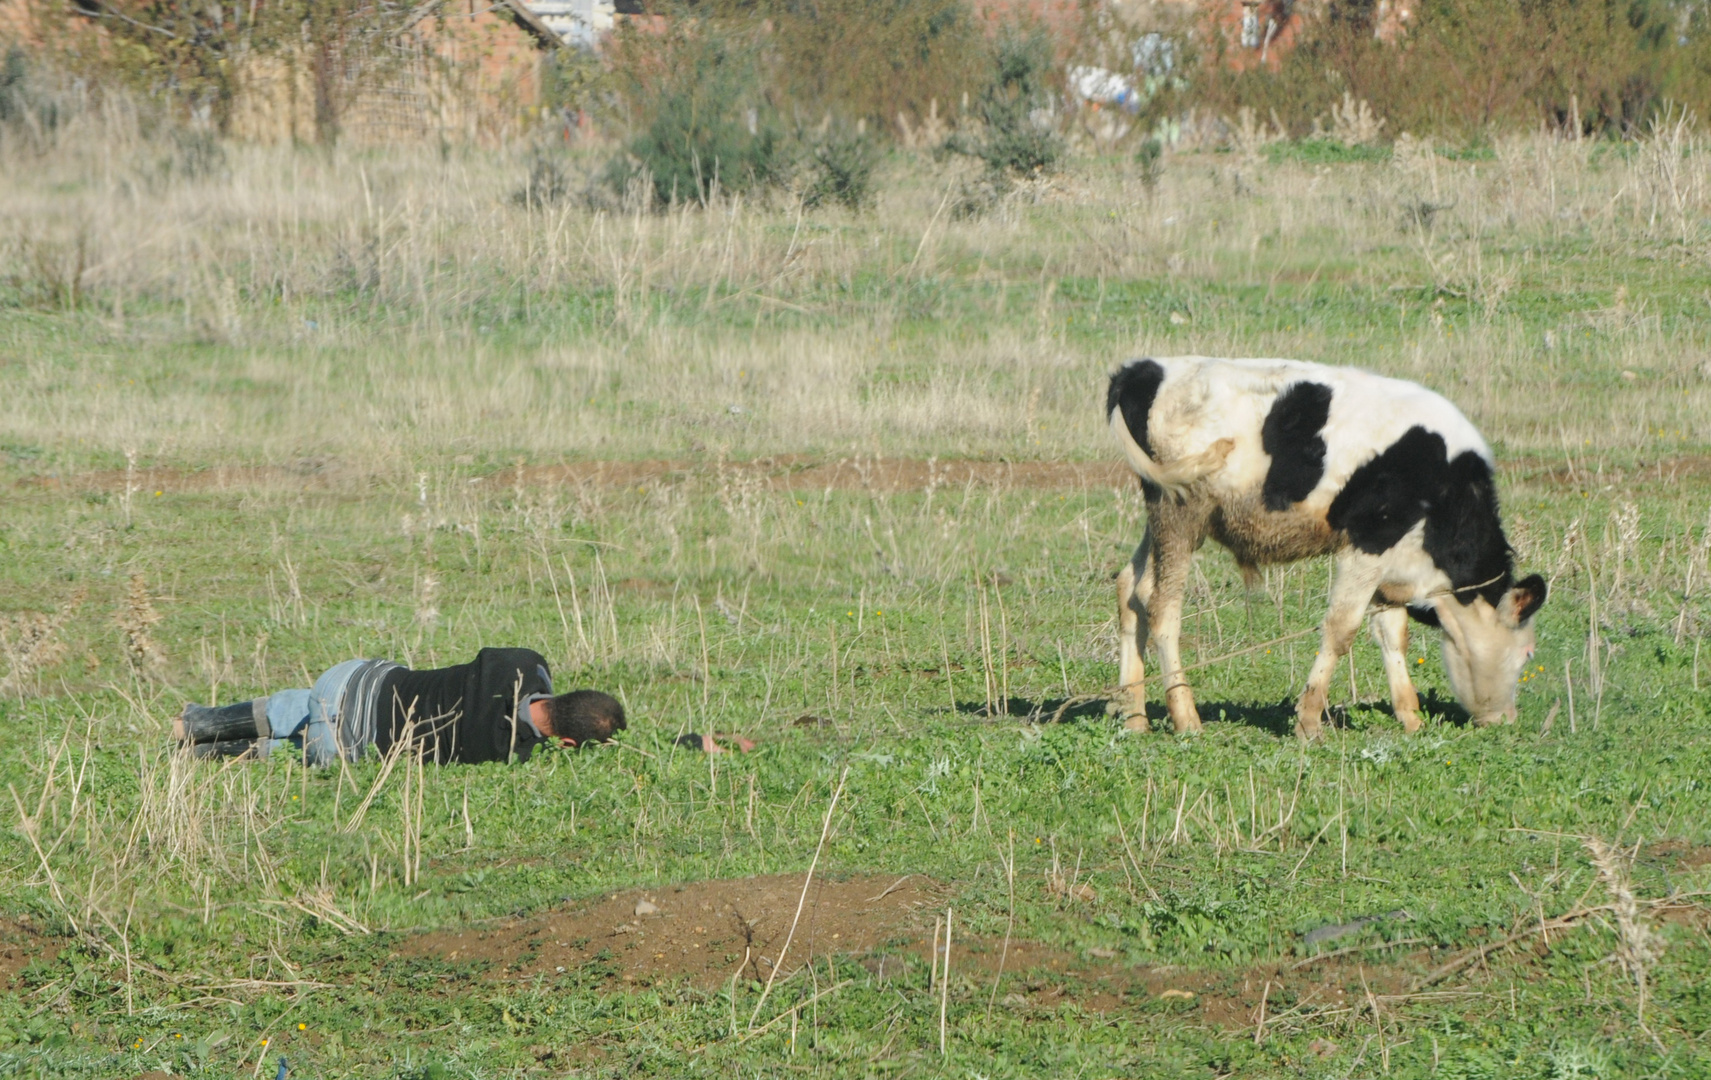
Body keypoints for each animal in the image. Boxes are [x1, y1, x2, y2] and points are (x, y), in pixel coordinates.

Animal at [1108, 359, 1553, 739]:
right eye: (1528, 652)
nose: (1506, 719)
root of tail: (1140, 369)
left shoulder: (1393, 564)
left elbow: (1393, 633)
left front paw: (1410, 717)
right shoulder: (1368, 542)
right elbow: (1342, 629)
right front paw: (1308, 721)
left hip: (1160, 516)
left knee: (1130, 588)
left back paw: (1135, 716)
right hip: (1179, 512)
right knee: (1162, 605)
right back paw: (1186, 717)